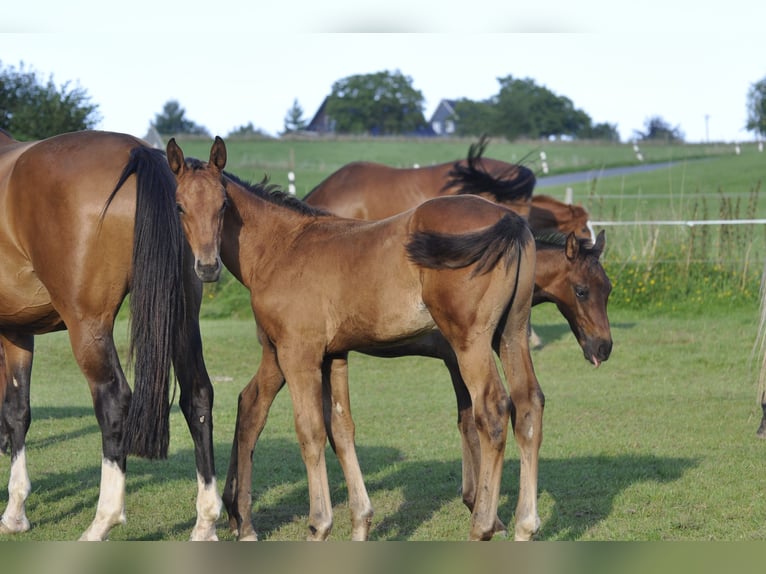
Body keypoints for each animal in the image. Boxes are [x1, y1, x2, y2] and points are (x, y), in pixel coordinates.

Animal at [0, 130, 224, 540]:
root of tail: (139, 151)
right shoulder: (17, 330)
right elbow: (17, 410)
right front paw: (15, 512)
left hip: (88, 328)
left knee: (115, 401)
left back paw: (102, 521)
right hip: (183, 321)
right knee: (198, 396)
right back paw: (205, 522)